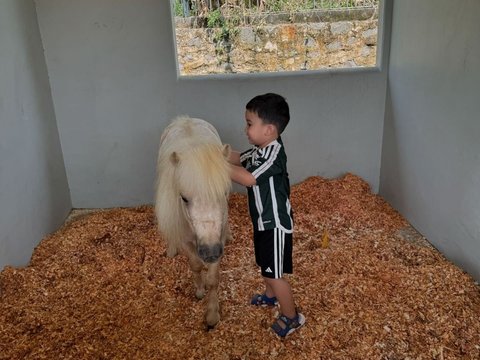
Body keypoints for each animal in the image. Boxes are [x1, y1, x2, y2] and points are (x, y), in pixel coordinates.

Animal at [156, 116, 231, 330]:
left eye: (224, 192)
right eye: (184, 198)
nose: (210, 251)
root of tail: (185, 119)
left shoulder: (218, 239)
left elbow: (213, 279)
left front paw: (212, 315)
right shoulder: (187, 241)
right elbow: (196, 265)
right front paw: (199, 290)